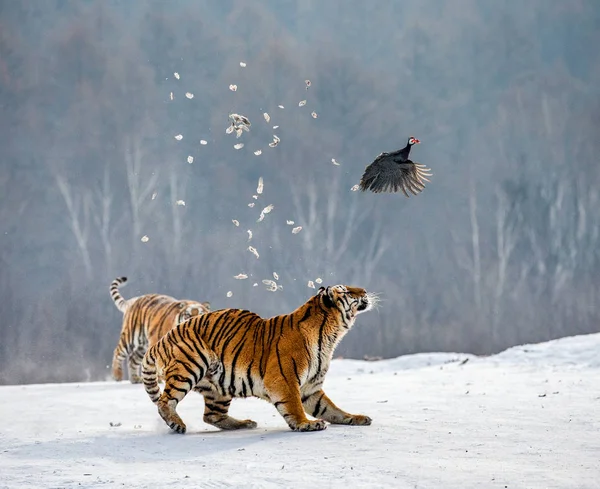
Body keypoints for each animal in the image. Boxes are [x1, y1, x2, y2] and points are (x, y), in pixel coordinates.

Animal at [141, 284, 378, 432]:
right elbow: (294, 406)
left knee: (211, 415)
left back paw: (244, 423)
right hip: (189, 366)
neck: (331, 335)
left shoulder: (310, 388)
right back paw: (176, 424)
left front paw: (355, 418)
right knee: (164, 401)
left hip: (220, 388)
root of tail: (165, 337)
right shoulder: (284, 380)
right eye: (347, 291)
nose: (365, 290)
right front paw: (306, 424)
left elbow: (332, 408)